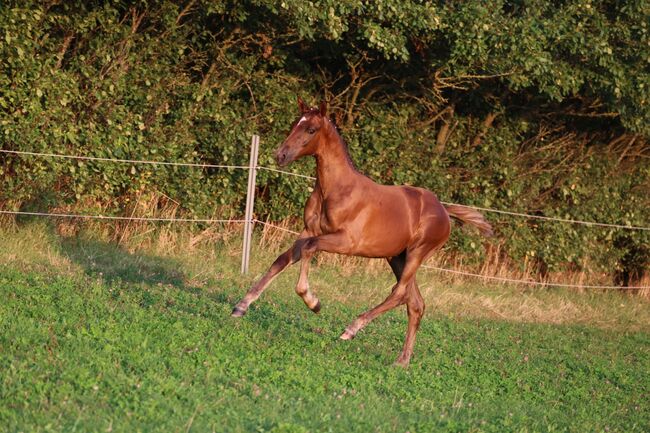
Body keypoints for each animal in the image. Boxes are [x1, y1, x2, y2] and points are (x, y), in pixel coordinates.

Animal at [230, 97, 488, 364]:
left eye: (310, 129)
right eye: (294, 124)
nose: (280, 155)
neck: (336, 189)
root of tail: (444, 210)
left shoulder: (346, 242)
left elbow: (310, 250)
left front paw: (313, 302)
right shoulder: (308, 231)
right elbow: (282, 259)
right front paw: (241, 306)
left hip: (417, 253)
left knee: (399, 293)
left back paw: (351, 329)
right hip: (397, 257)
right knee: (415, 302)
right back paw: (402, 361)